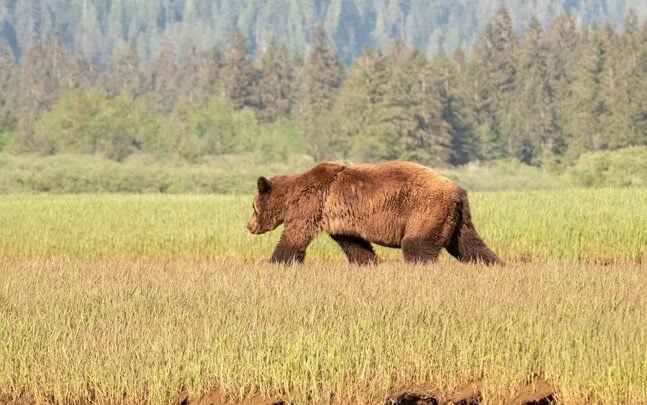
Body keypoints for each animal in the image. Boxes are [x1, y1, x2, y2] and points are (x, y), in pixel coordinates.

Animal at [246, 161, 504, 266]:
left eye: (253, 206)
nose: (249, 226)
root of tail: (458, 190)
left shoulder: (310, 207)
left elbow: (293, 238)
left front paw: (277, 262)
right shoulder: (340, 220)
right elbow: (355, 244)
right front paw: (370, 262)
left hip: (425, 210)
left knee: (418, 245)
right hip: (457, 219)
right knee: (470, 245)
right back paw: (494, 264)